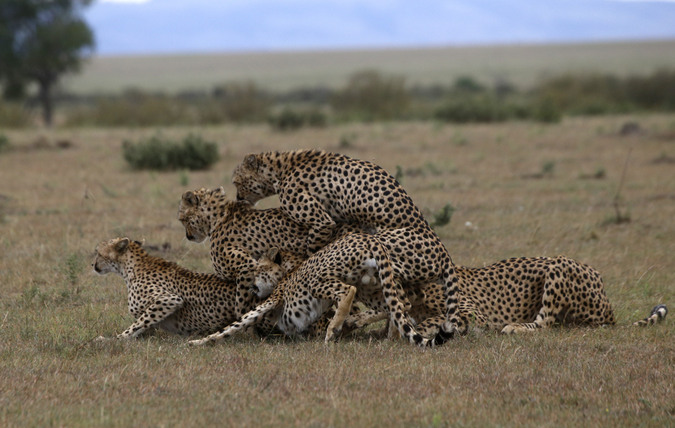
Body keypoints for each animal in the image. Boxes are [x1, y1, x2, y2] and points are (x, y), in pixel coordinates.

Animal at [92, 237, 240, 338]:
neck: (130, 267)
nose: (93, 264)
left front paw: (112, 339)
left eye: (99, 253)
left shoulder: (169, 299)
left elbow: (137, 324)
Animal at [189, 231, 454, 348]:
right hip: (373, 281)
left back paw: (334, 329)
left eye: (258, 267)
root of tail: (367, 237)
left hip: (321, 279)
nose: (252, 285)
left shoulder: (272, 301)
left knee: (347, 291)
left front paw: (199, 341)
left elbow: (238, 323)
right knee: (400, 303)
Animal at [232, 150, 464, 344]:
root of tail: (445, 254)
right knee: (410, 297)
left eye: (236, 181)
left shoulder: (322, 221)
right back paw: (383, 332)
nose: (238, 198)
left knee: (401, 298)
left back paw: (360, 323)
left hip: (379, 247)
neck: (280, 168)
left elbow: (311, 252)